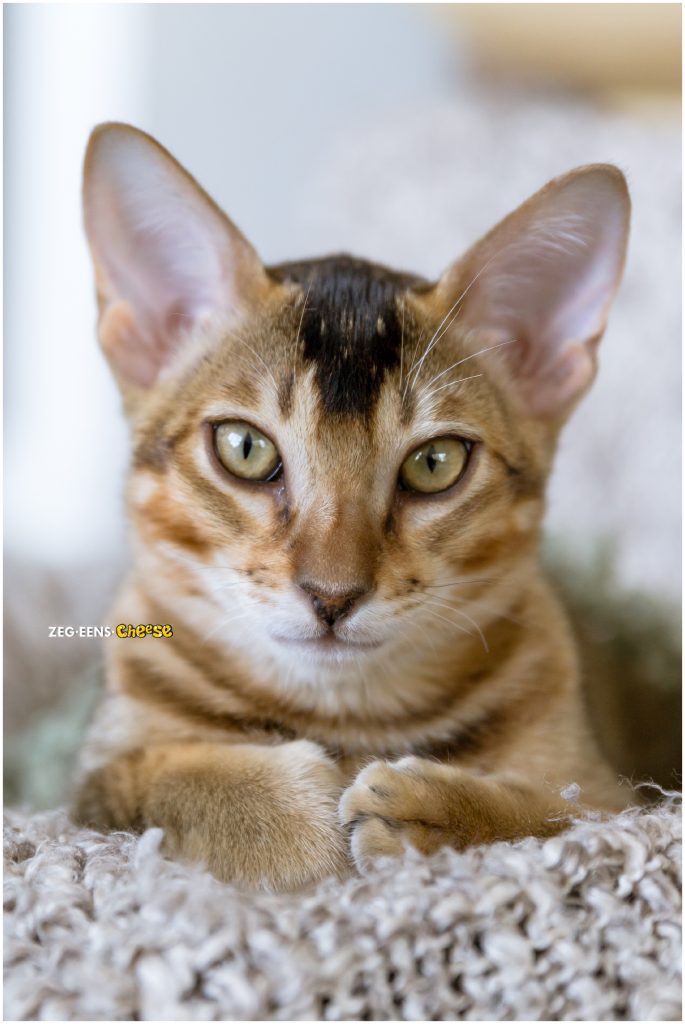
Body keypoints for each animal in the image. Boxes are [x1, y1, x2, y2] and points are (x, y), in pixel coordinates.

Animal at [73, 119, 630, 888]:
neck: (343, 722)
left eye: (435, 463)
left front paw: (437, 811)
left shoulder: (618, 795)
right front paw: (297, 822)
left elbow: (568, 815)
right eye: (244, 448)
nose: (331, 596)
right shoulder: (95, 777)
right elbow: (163, 776)